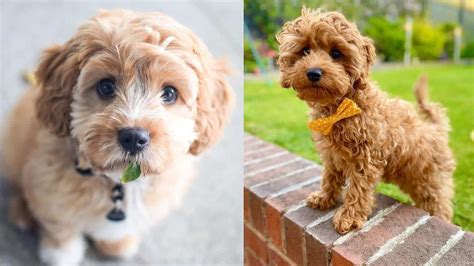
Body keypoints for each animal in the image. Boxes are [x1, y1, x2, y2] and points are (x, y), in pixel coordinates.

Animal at [1, 9, 233, 264]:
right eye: (106, 86)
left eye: (170, 93)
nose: (133, 137)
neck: (117, 185)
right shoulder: (50, 194)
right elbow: (61, 228)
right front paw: (61, 254)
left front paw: (118, 244)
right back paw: (22, 213)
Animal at [278, 7, 456, 234]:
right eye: (305, 51)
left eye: (336, 53)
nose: (313, 72)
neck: (342, 107)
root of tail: (435, 129)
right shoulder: (332, 155)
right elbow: (330, 177)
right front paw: (324, 198)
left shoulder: (366, 156)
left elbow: (358, 188)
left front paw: (349, 216)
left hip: (429, 181)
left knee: (440, 206)